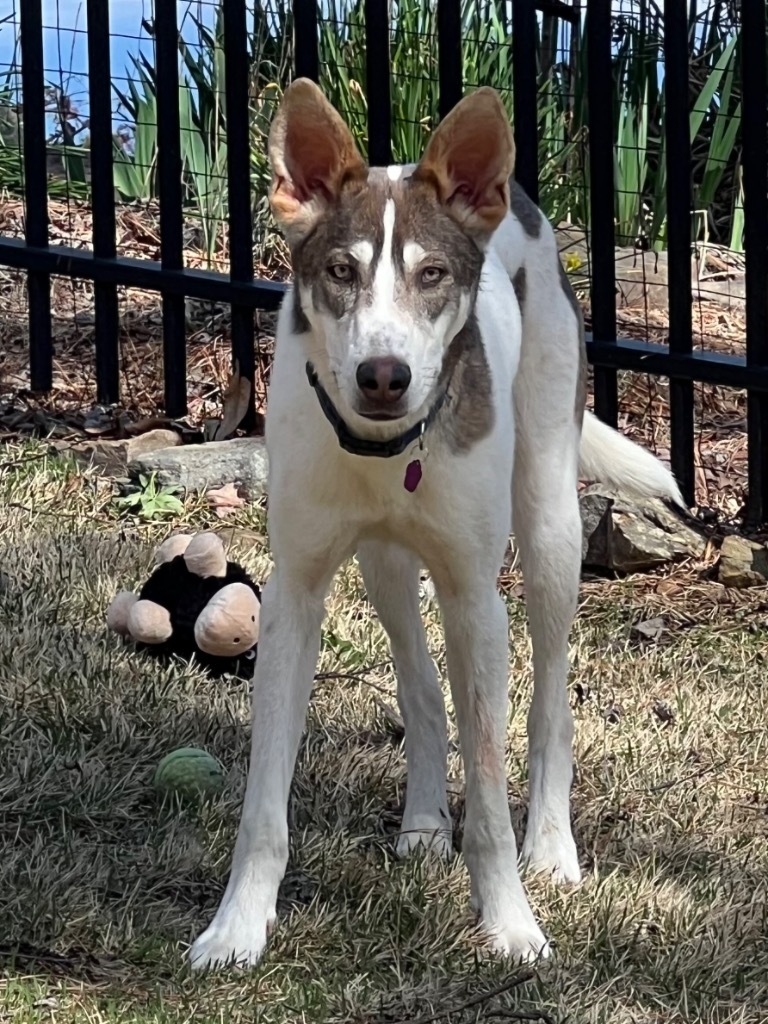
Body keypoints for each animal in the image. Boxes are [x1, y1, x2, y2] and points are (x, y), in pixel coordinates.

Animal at [189, 81, 684, 966]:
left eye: (432, 275)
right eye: (341, 272)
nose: (382, 375)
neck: (388, 447)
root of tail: (521, 200)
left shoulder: (475, 600)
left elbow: (488, 791)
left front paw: (511, 922)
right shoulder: (294, 598)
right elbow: (265, 800)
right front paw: (238, 925)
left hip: (550, 523)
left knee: (549, 697)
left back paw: (551, 846)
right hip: (385, 561)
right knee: (419, 683)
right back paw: (423, 820)